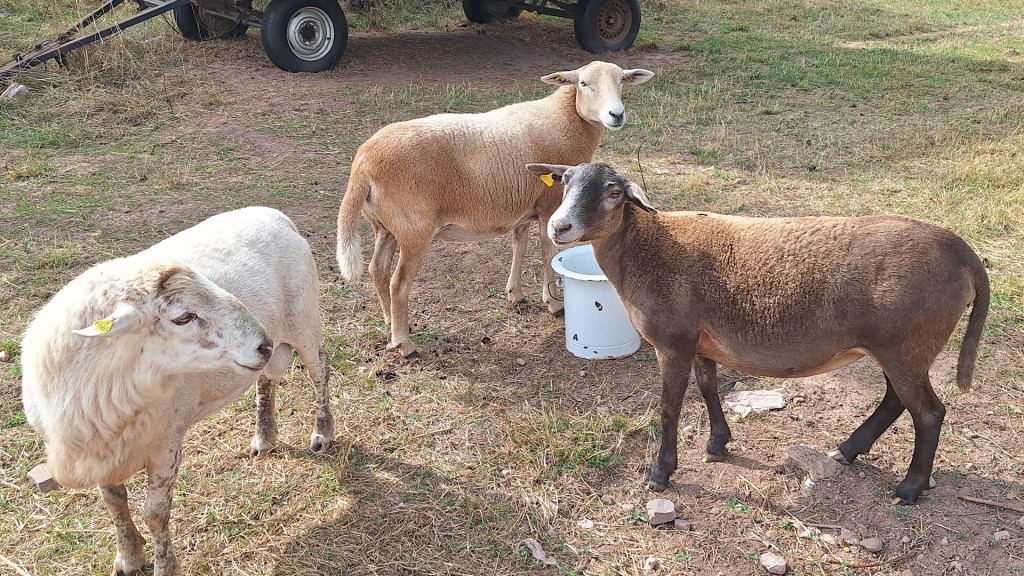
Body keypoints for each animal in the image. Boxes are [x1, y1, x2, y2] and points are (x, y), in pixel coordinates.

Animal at [20, 207, 335, 576]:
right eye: (184, 317)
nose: (263, 343)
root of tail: (274, 214)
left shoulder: (166, 443)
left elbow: (155, 514)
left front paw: (164, 565)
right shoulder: (99, 448)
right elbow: (114, 502)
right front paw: (128, 556)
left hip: (304, 321)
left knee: (320, 370)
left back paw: (322, 432)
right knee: (265, 379)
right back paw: (264, 436)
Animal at [336, 60, 654, 357]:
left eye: (621, 81)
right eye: (584, 83)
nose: (617, 114)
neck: (566, 119)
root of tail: (363, 162)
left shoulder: (524, 207)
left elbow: (519, 245)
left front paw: (516, 294)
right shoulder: (550, 204)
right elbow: (547, 252)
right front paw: (553, 303)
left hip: (385, 226)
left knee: (377, 269)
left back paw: (392, 323)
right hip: (414, 229)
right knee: (398, 283)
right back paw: (404, 344)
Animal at [526, 161, 989, 505]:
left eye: (614, 193)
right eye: (565, 182)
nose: (559, 227)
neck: (644, 247)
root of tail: (965, 255)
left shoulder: (673, 342)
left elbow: (670, 407)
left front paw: (660, 473)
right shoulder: (700, 340)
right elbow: (708, 388)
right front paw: (718, 444)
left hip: (906, 343)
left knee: (928, 413)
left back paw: (909, 488)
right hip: (897, 347)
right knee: (896, 400)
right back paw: (848, 450)